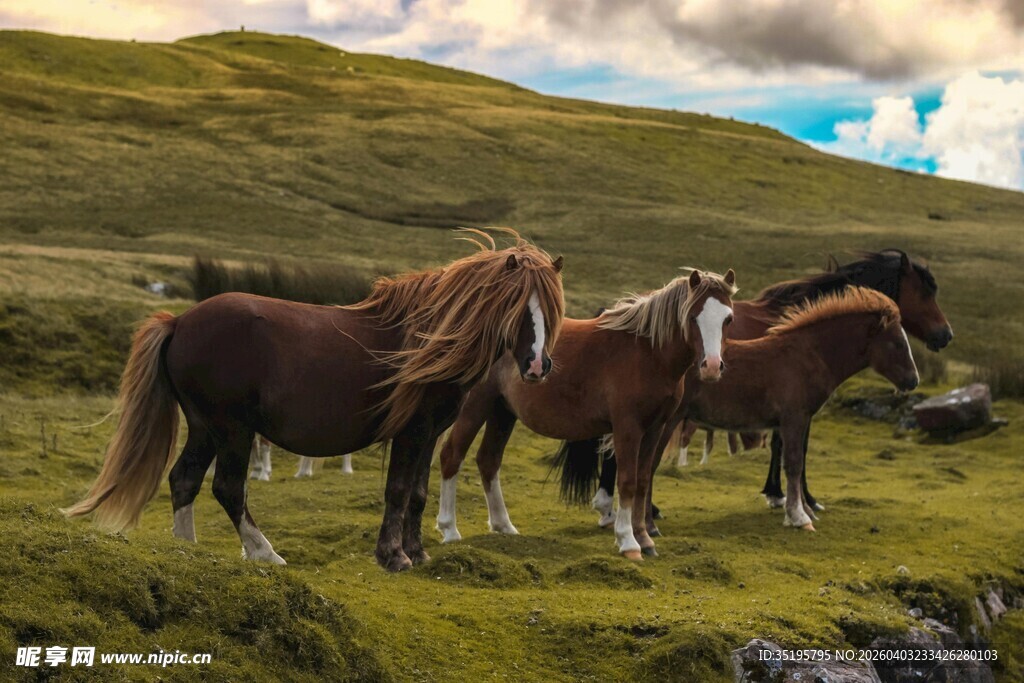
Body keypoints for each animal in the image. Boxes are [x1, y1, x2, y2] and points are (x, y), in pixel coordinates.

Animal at [62, 229, 565, 572]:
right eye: (518, 308)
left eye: (551, 309)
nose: (537, 366)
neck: (430, 340)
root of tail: (180, 322)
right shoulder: (411, 431)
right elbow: (398, 490)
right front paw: (393, 556)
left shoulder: (429, 432)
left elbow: (419, 493)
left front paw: (417, 552)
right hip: (232, 429)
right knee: (227, 488)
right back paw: (264, 553)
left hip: (206, 426)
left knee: (184, 479)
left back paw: (189, 551)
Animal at [434, 268, 737, 560]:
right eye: (694, 316)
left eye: (728, 319)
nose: (712, 366)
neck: (648, 354)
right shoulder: (628, 428)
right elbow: (627, 481)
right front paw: (628, 542)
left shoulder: (654, 428)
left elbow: (642, 481)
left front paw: (644, 538)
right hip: (476, 406)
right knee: (452, 455)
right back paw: (449, 529)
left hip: (502, 411)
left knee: (488, 460)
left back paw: (504, 526)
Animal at [590, 249, 951, 523]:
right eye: (926, 291)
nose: (945, 335)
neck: (808, 347)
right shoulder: (796, 413)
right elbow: (795, 454)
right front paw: (799, 503)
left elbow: (786, 450)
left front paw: (784, 498)